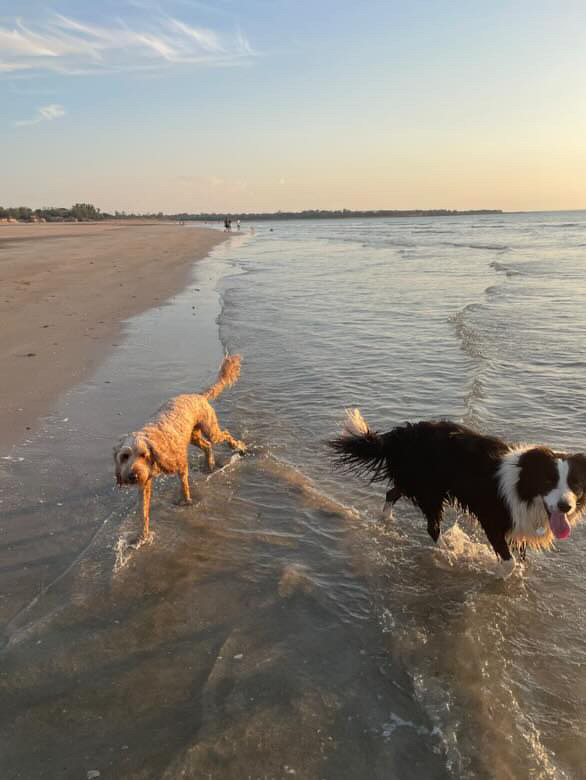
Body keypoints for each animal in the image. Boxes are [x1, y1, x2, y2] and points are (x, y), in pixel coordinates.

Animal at [114, 354, 244, 544]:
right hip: (194, 436)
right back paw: (210, 465)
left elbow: (184, 484)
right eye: (124, 456)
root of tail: (198, 396)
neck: (155, 447)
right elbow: (143, 512)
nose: (133, 476)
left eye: (143, 455)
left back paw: (239, 447)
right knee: (207, 446)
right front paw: (142, 536)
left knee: (224, 435)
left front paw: (186, 501)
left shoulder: (180, 463)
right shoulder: (145, 483)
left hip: (210, 430)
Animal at [328, 412, 584, 576]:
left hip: (417, 481)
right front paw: (499, 576)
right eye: (548, 481)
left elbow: (520, 557)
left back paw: (386, 519)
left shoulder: (520, 523)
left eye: (575, 484)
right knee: (431, 527)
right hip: (429, 490)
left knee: (392, 492)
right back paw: (447, 553)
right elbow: (509, 561)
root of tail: (400, 434)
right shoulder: (492, 519)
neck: (524, 486)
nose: (565, 507)